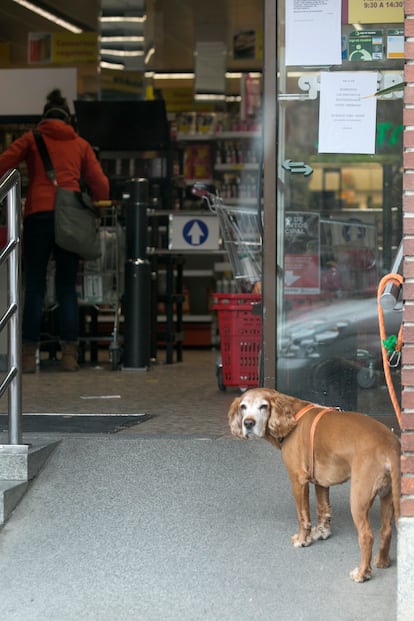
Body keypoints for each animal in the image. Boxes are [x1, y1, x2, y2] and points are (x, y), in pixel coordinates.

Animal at [228, 388, 400, 580]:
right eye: (243, 407)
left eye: (263, 406)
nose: (248, 423)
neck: (292, 418)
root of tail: (389, 445)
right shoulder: (321, 482)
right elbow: (323, 509)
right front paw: (322, 532)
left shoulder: (298, 480)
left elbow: (303, 517)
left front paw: (303, 540)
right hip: (388, 496)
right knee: (386, 530)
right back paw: (382, 561)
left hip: (358, 499)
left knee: (367, 536)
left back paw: (362, 573)